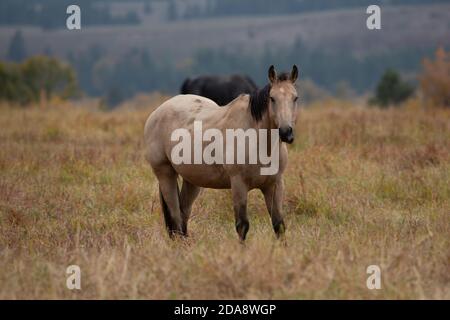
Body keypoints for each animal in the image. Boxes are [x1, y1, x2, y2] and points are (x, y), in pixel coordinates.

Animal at [144, 64, 298, 240]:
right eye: (272, 98)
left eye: (295, 98)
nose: (286, 132)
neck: (259, 142)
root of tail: (157, 112)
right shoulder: (238, 184)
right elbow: (242, 225)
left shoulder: (274, 185)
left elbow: (279, 225)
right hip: (165, 174)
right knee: (175, 217)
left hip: (192, 180)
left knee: (183, 214)